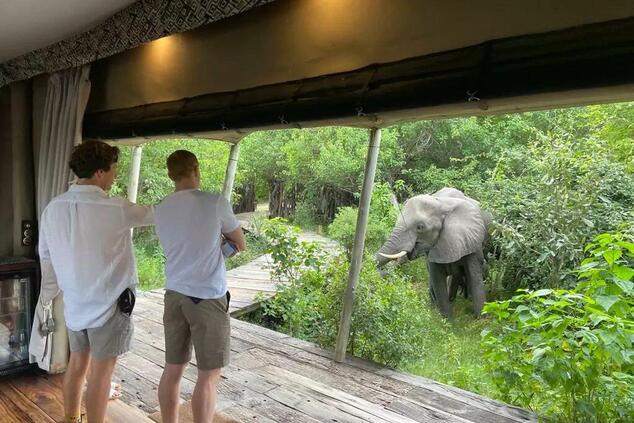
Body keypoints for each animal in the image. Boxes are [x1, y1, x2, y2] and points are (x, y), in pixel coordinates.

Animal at [376, 187, 488, 320]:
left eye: (420, 227)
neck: (442, 205)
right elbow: (438, 280)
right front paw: (446, 321)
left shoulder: (471, 241)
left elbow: (474, 276)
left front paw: (481, 317)